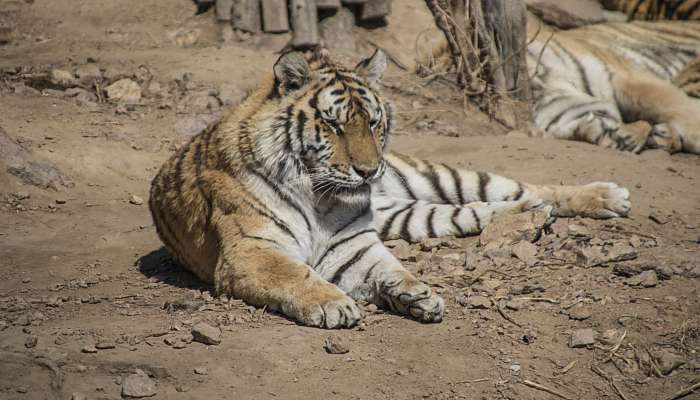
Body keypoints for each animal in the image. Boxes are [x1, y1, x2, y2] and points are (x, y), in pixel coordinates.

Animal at [150, 49, 632, 328]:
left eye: (373, 122)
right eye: (334, 125)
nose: (368, 172)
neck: (321, 198)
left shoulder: (354, 246)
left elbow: (392, 269)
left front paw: (417, 293)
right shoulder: (251, 251)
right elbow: (294, 274)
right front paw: (335, 304)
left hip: (440, 177)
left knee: (527, 187)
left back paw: (607, 196)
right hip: (413, 214)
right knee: (482, 209)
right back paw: (530, 217)